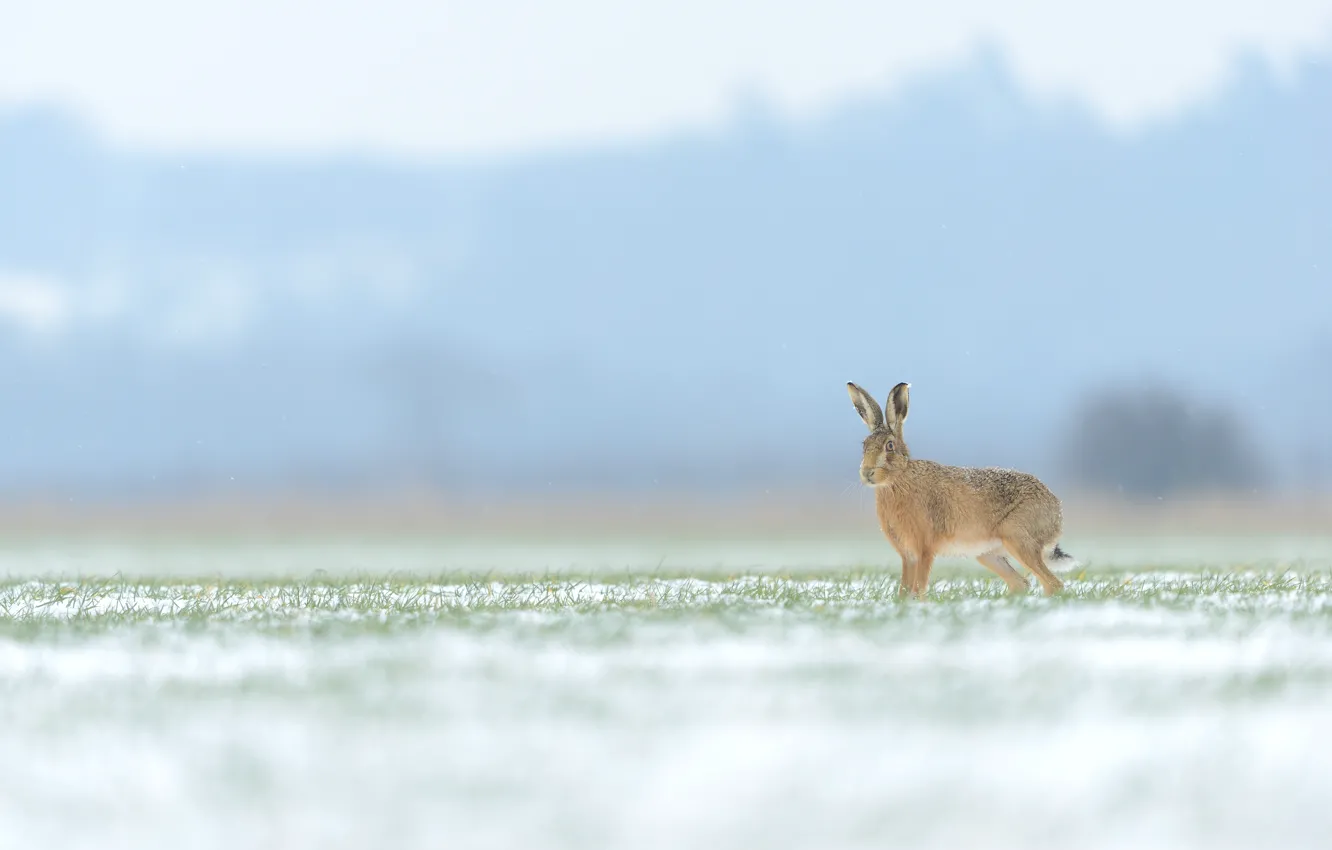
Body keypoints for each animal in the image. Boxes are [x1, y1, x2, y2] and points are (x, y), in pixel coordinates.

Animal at [847, 381, 1076, 598]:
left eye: (890, 446)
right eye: (864, 445)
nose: (867, 473)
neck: (898, 478)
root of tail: (1057, 512)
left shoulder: (924, 550)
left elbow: (919, 589)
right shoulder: (908, 555)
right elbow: (904, 591)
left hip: (1018, 539)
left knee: (1053, 584)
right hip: (988, 554)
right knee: (1021, 583)